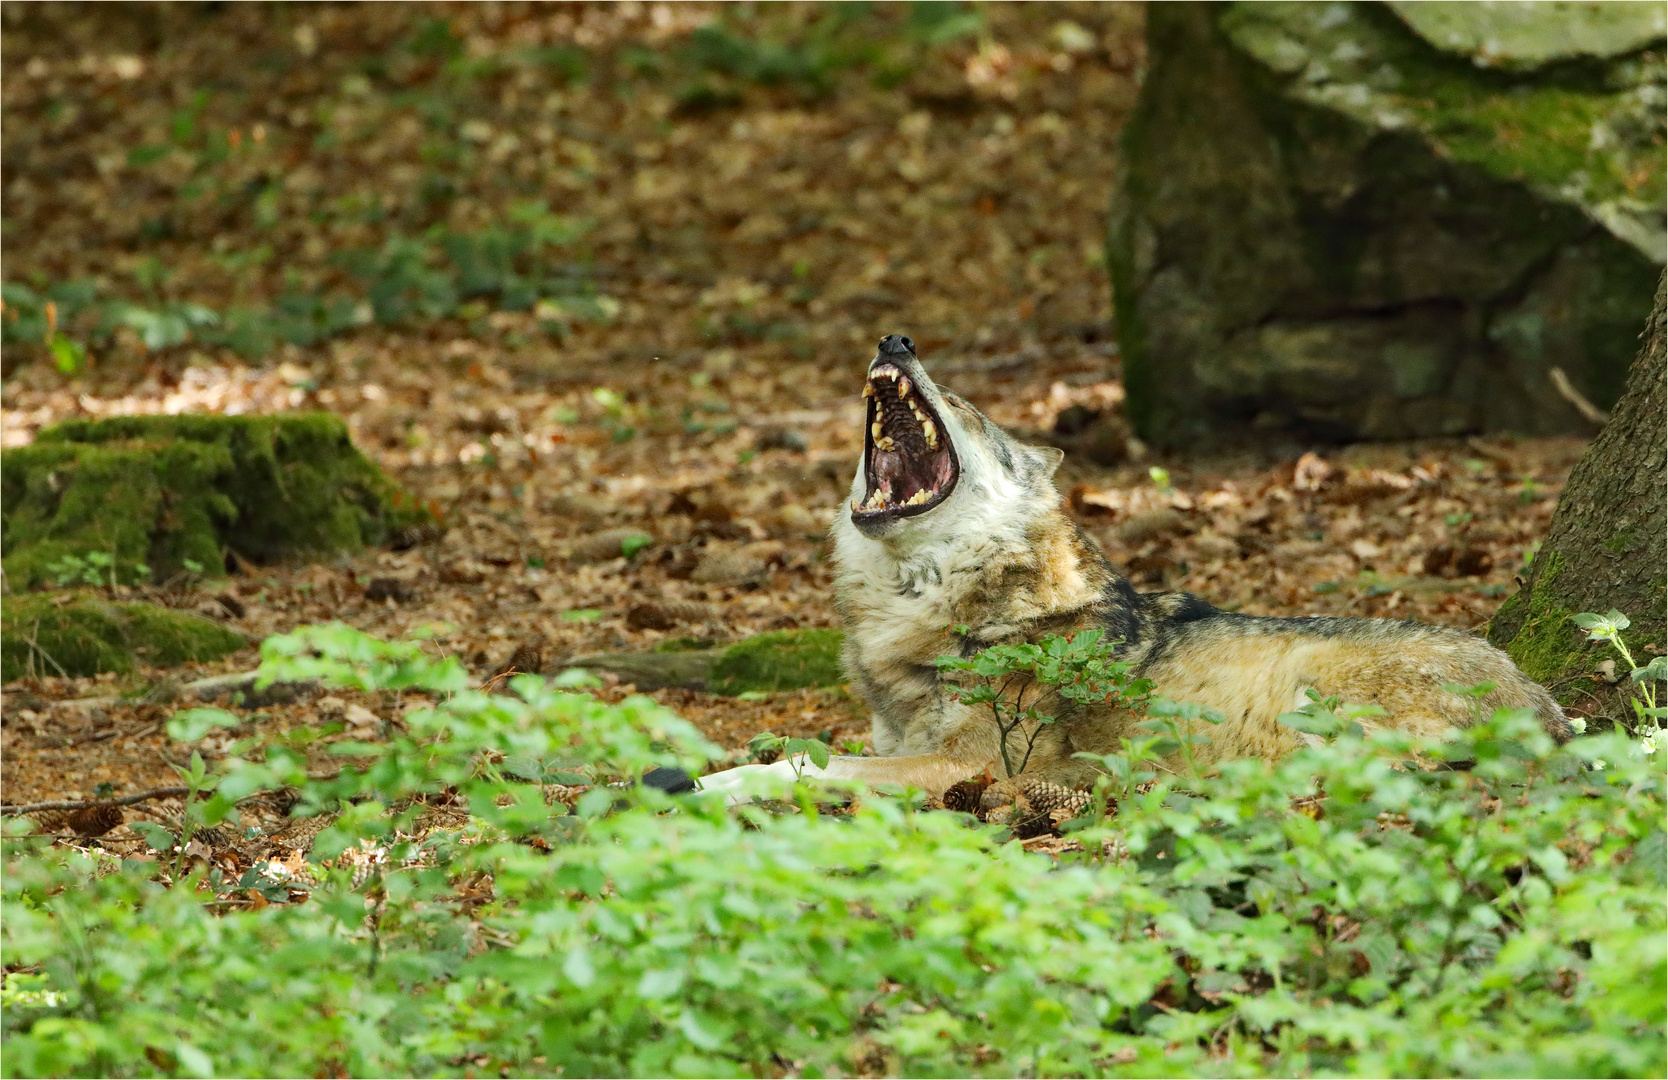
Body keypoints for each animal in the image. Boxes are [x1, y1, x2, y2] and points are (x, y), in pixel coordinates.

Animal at [697, 333, 1567, 807]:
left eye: (970, 412)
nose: (896, 343)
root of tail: (1549, 709)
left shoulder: (968, 765)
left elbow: (802, 761)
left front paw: (705, 783)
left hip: (1314, 697)